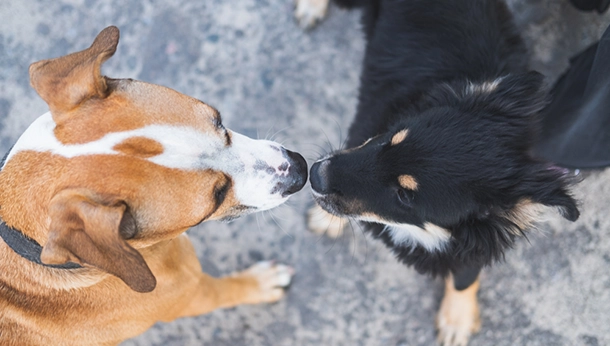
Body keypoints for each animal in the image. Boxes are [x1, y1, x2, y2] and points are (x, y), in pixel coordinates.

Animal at [0, 25, 306, 344]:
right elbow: (227, 290)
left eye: (219, 121)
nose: (301, 169)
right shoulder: (193, 294)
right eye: (218, 196)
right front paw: (261, 283)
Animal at [300, 0, 580, 344]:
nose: (315, 174)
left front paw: (456, 318)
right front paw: (325, 219)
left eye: (405, 195)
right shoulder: (363, 128)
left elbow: (464, 275)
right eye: (390, 139)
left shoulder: (473, 240)